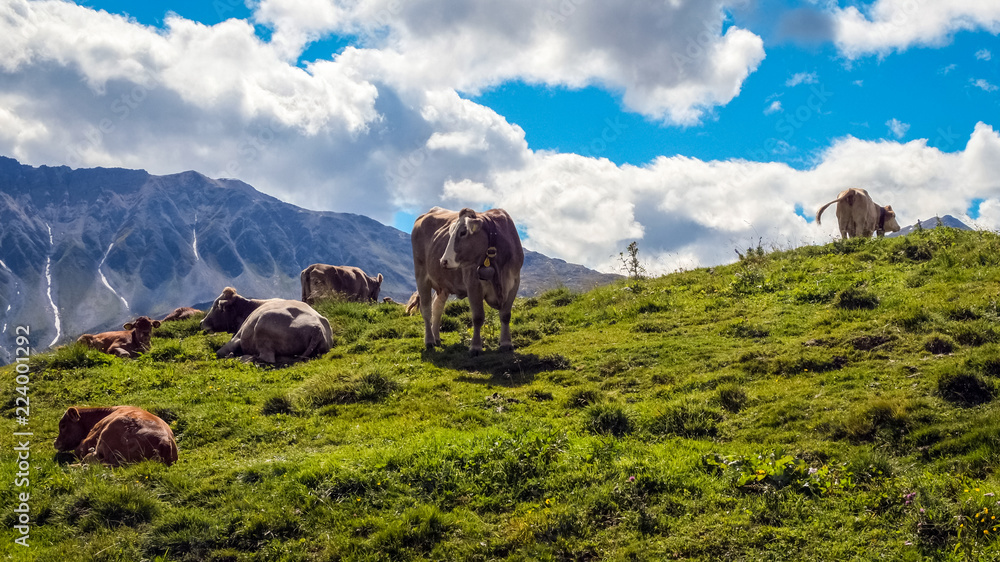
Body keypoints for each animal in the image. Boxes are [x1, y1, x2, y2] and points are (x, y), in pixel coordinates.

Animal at [201, 287, 333, 364]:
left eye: (216, 306)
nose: (201, 322)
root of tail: (317, 327)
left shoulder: (237, 338)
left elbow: (220, 352)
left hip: (263, 324)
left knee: (266, 358)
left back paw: (243, 357)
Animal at [411, 207, 524, 355]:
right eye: (451, 232)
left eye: (463, 232)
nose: (443, 261)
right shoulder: (472, 283)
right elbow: (478, 317)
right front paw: (475, 347)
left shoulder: (514, 282)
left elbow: (505, 315)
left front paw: (506, 343)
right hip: (421, 275)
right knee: (426, 310)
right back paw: (429, 341)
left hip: (444, 284)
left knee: (437, 308)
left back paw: (436, 338)